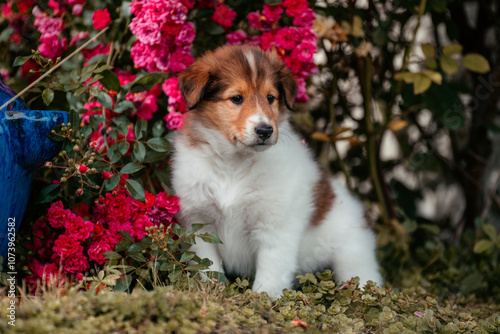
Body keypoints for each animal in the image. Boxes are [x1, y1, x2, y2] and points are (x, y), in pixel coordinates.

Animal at [172, 45, 382, 298]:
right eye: (236, 98)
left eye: (270, 98)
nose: (265, 131)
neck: (235, 165)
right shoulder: (200, 222)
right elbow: (208, 268)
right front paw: (213, 291)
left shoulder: (275, 225)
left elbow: (271, 272)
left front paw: (264, 299)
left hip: (352, 254)